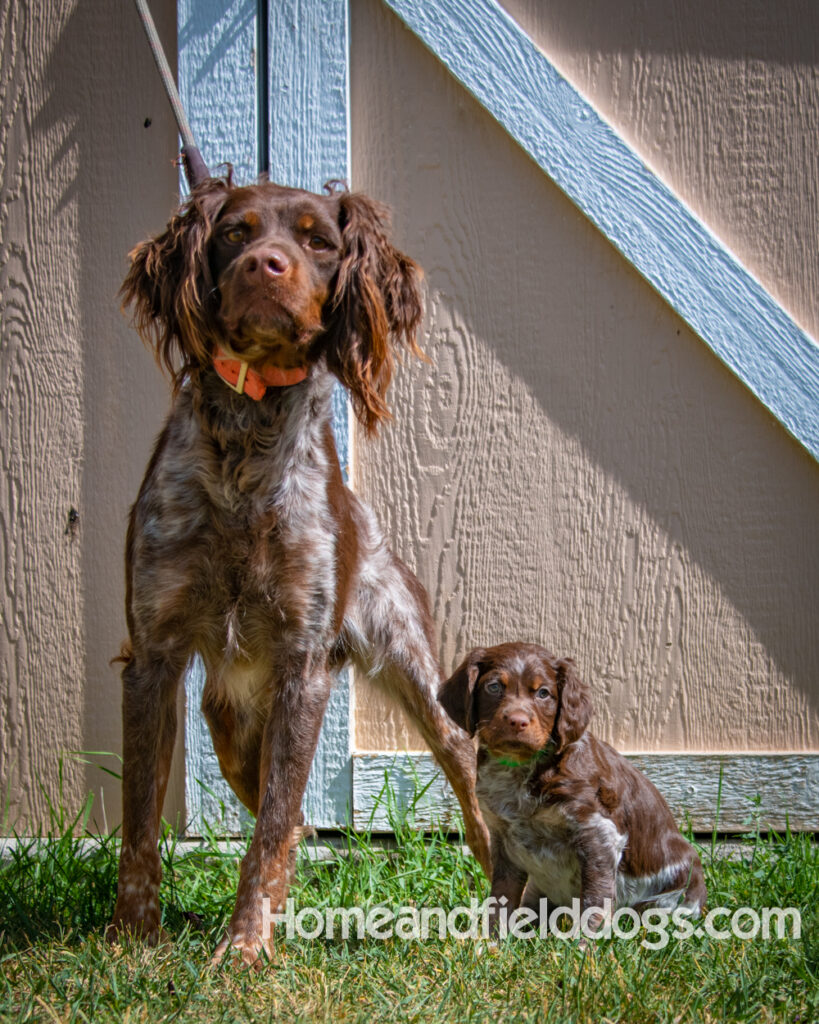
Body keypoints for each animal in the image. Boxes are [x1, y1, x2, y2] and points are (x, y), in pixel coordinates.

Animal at [105, 172, 489, 962]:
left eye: (318, 240)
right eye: (234, 234)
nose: (265, 267)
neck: (244, 452)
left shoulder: (304, 664)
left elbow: (273, 829)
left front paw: (245, 947)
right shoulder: (153, 655)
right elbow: (141, 822)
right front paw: (132, 937)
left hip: (414, 670)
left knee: (466, 780)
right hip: (228, 729)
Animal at [438, 643, 708, 937]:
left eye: (543, 693)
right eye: (494, 687)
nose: (517, 721)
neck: (520, 769)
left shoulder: (598, 834)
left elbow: (594, 902)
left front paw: (582, 946)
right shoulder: (502, 839)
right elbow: (501, 899)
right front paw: (493, 941)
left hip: (668, 899)